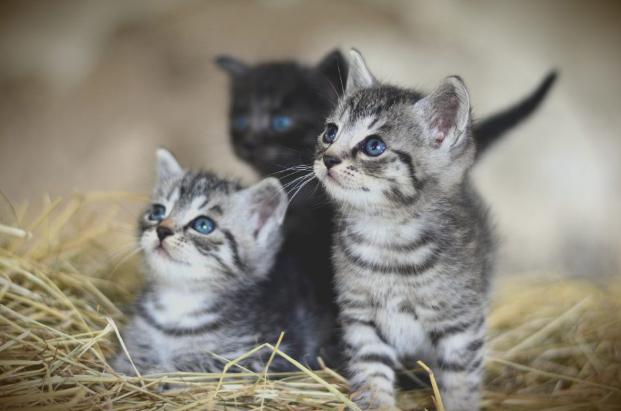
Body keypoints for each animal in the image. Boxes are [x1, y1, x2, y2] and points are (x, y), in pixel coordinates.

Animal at [113, 150, 332, 382]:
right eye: (157, 212)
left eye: (203, 225)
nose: (162, 230)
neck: (180, 300)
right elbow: (130, 354)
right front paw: (127, 366)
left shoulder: (270, 355)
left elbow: (208, 367)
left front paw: (161, 374)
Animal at [314, 50, 494, 410]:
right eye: (330, 132)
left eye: (373, 146)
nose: (327, 158)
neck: (387, 237)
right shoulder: (360, 318)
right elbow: (371, 375)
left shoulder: (462, 324)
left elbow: (461, 383)